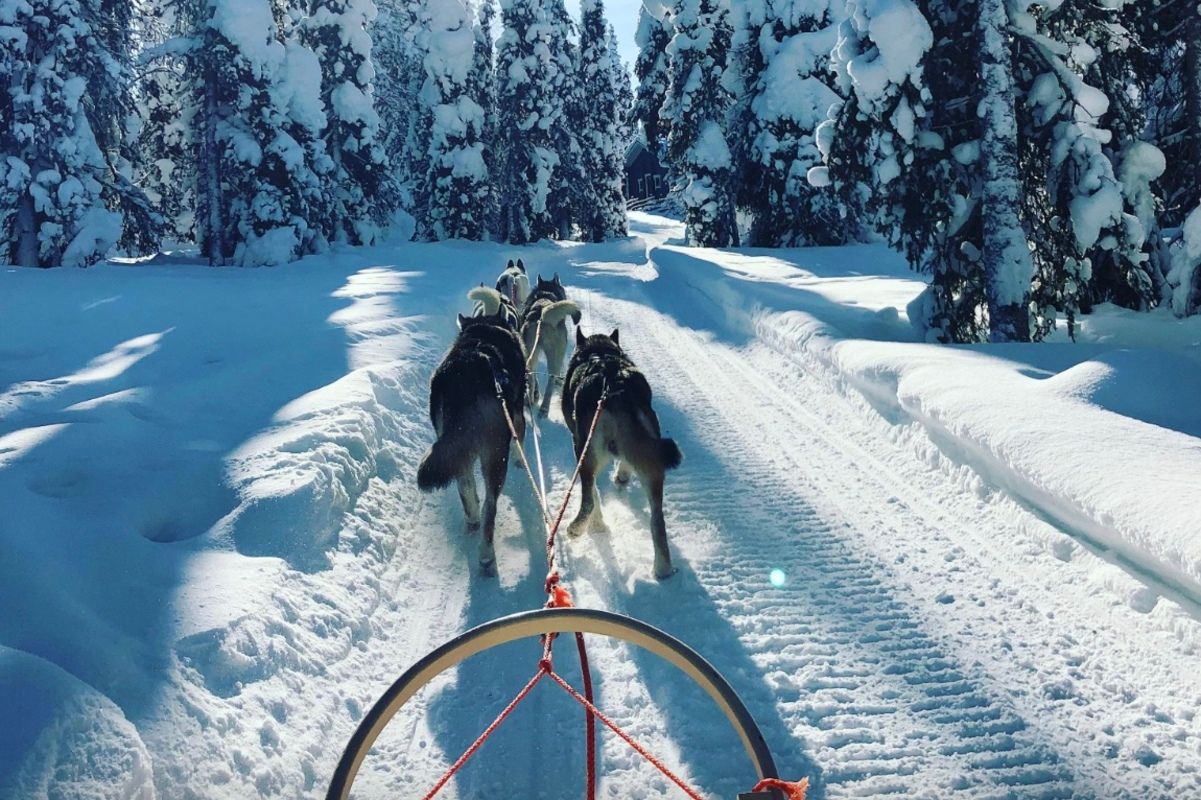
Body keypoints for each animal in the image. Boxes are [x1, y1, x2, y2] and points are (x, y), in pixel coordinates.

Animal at [417, 306, 526, 574]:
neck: (485, 330)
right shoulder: (518, 417)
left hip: (457, 452)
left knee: (467, 490)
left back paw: (472, 522)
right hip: (495, 457)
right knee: (490, 506)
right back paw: (486, 555)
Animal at [521, 271, 581, 413]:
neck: (545, 294)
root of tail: (542, 315)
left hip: (531, 353)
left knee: (532, 377)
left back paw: (531, 400)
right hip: (553, 355)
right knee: (550, 379)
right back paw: (544, 406)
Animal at [559, 326, 682, 576]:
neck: (599, 352)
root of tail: (618, 389)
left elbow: (594, 494)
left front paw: (597, 526)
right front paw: (623, 476)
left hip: (585, 453)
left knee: (588, 499)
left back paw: (578, 528)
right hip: (653, 466)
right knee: (657, 521)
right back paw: (663, 569)